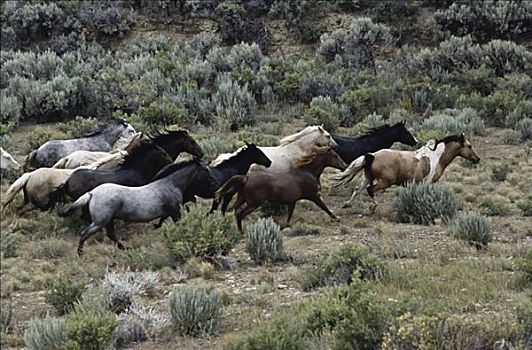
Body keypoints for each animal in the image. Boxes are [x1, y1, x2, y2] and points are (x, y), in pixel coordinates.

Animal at [60, 159, 220, 254]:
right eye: (206, 171)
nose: (216, 183)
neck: (171, 184)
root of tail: (92, 193)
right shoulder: (175, 212)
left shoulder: (168, 212)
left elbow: (161, 221)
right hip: (100, 221)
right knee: (85, 234)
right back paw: (80, 254)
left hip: (108, 221)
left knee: (111, 235)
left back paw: (126, 249)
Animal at [214, 146, 348, 234]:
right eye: (336, 155)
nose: (345, 166)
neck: (307, 172)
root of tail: (246, 178)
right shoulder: (313, 196)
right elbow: (324, 207)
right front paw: (336, 217)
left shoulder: (292, 201)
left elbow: (290, 214)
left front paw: (286, 226)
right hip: (254, 203)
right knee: (239, 214)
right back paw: (241, 232)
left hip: (242, 199)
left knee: (231, 210)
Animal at [334, 133, 480, 206]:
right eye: (469, 146)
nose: (477, 159)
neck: (436, 157)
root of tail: (373, 155)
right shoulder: (428, 182)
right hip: (385, 182)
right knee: (370, 190)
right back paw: (373, 208)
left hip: (368, 178)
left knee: (357, 189)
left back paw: (347, 204)